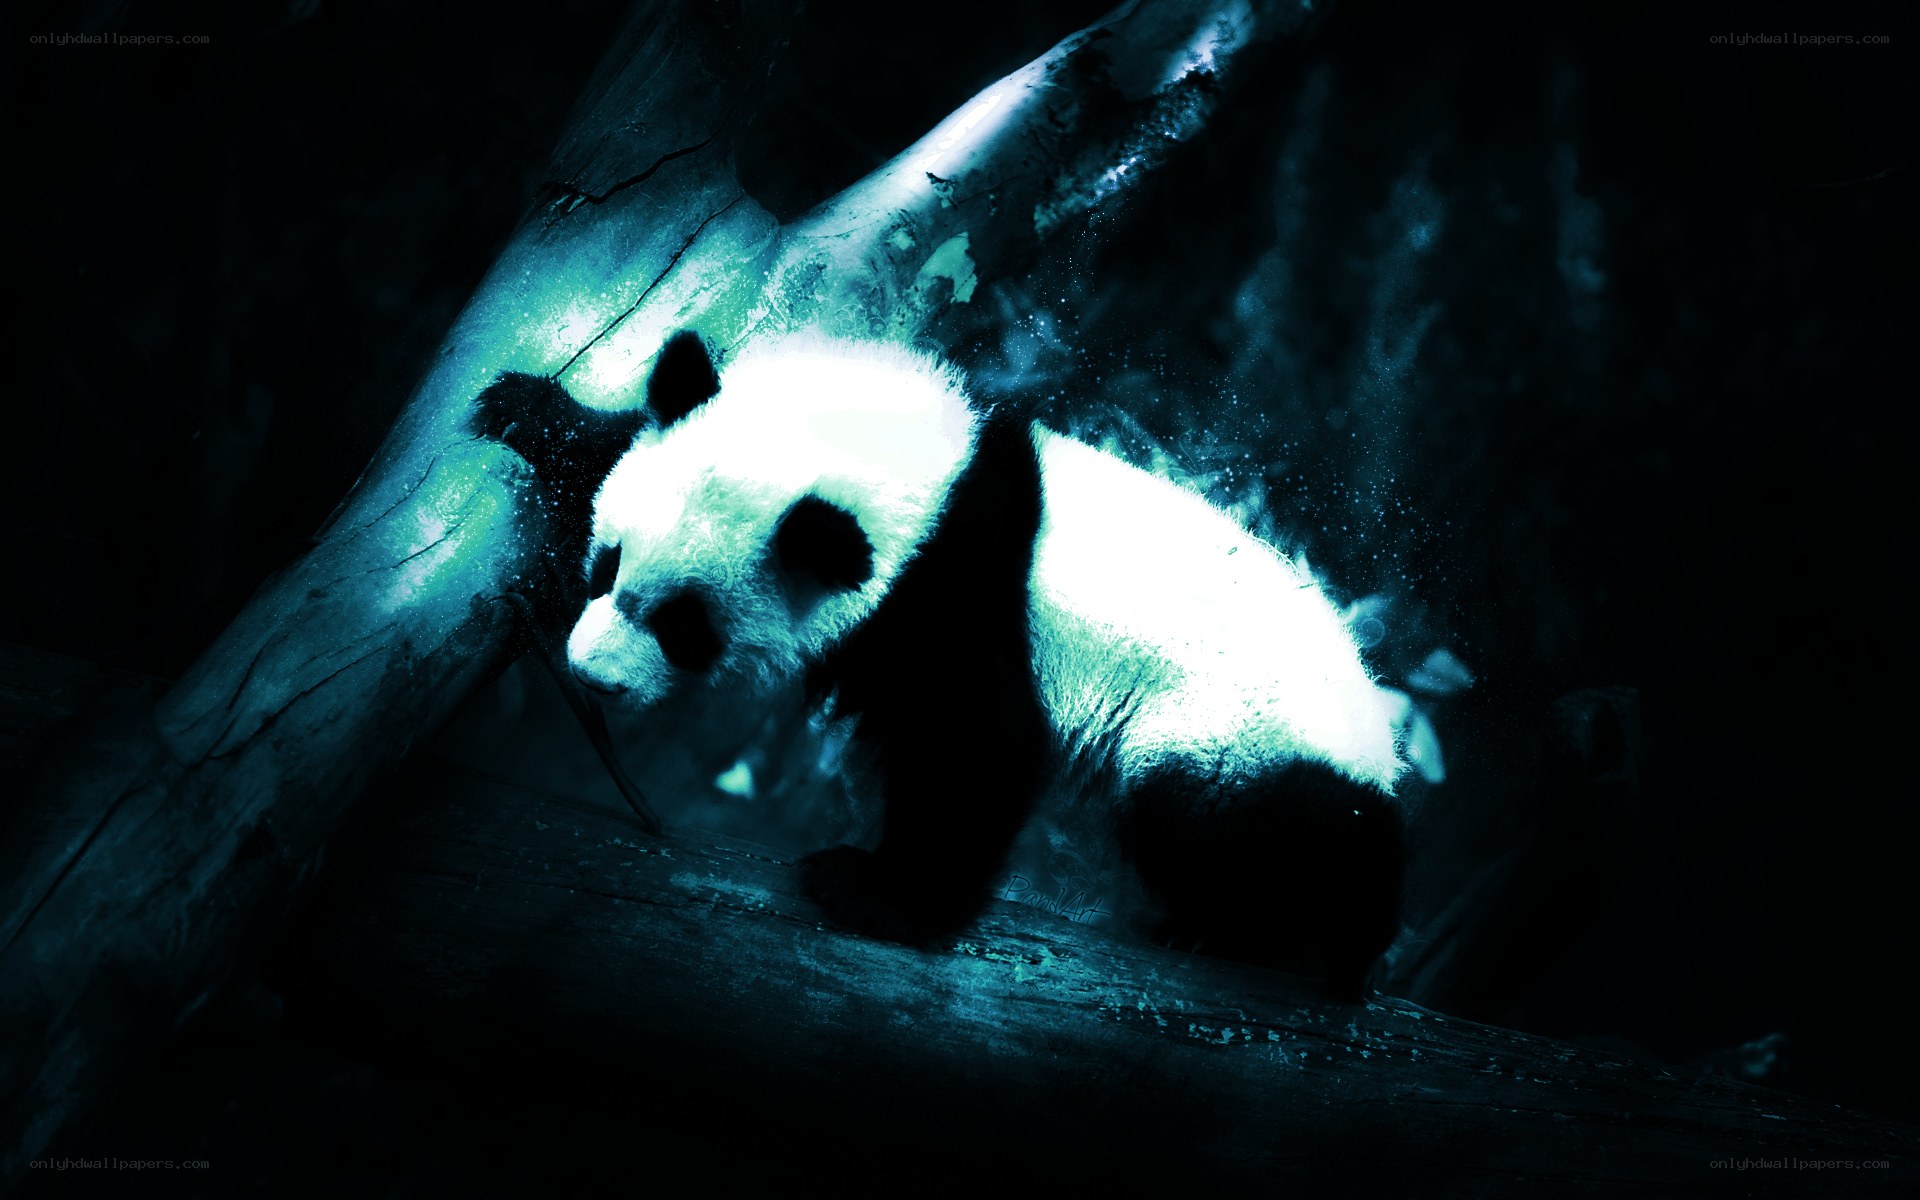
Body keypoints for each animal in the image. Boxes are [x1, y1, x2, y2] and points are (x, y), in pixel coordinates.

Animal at [477, 330, 1408, 996]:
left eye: (684, 628)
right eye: (607, 566)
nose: (592, 675)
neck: (929, 473)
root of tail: (1380, 748)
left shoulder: (956, 588)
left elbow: (976, 740)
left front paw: (873, 891)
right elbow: (611, 442)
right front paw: (528, 411)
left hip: (1230, 733)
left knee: (1242, 830)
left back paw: (1275, 937)